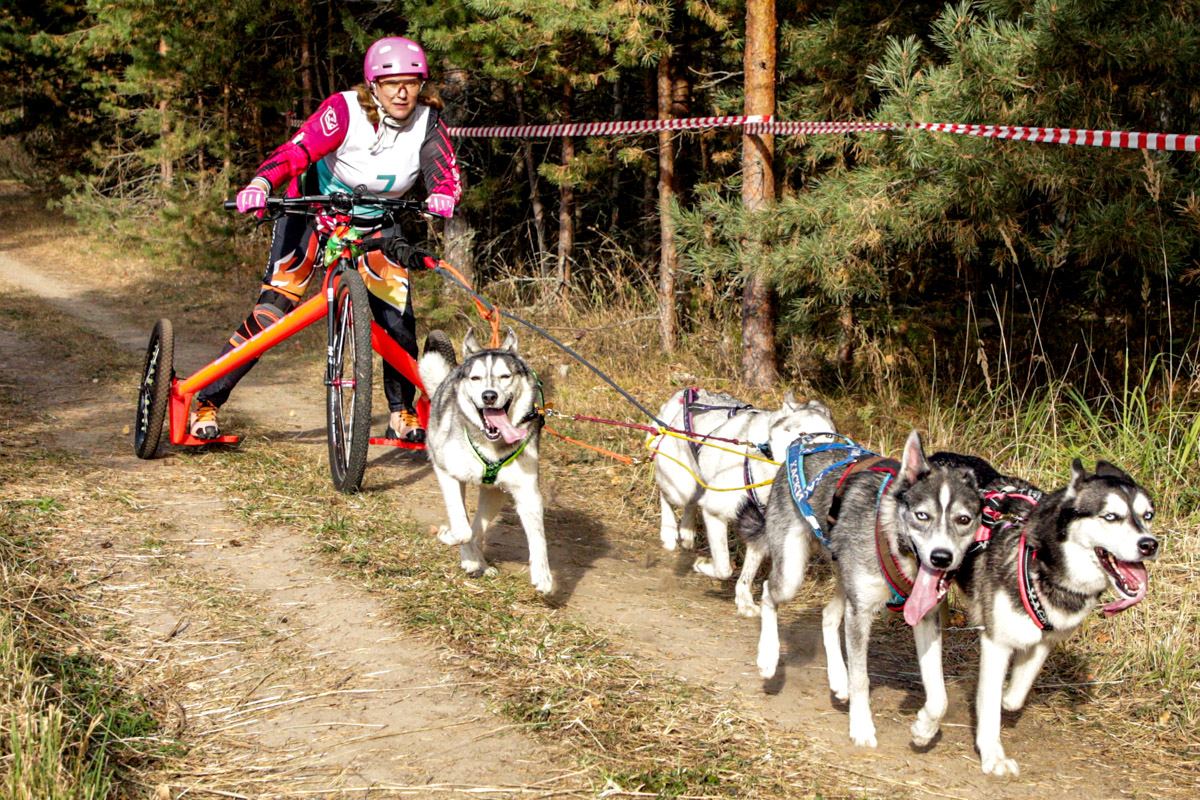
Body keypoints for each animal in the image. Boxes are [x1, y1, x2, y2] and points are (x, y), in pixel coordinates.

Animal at [417, 326, 552, 594]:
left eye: (505, 376)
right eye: (476, 378)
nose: (489, 396)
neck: (492, 446)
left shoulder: (527, 491)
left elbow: (538, 537)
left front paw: (543, 574)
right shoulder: (445, 472)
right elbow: (461, 529)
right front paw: (448, 536)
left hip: (496, 494)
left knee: (478, 528)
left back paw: (477, 560)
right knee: (467, 526)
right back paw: (470, 558)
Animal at [739, 431, 984, 753]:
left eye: (963, 520)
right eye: (922, 516)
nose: (941, 557)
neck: (896, 543)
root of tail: (804, 442)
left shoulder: (924, 617)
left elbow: (939, 696)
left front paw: (924, 729)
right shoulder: (861, 613)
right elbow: (862, 679)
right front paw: (861, 726)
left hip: (846, 581)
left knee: (829, 615)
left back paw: (837, 677)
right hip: (792, 574)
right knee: (769, 591)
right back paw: (768, 655)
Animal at [950, 460, 1156, 777]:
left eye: (1147, 516)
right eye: (1111, 517)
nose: (1150, 544)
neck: (1042, 565)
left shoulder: (1044, 639)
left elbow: (1014, 695)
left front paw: (1006, 696)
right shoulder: (996, 643)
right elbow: (990, 705)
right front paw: (993, 755)